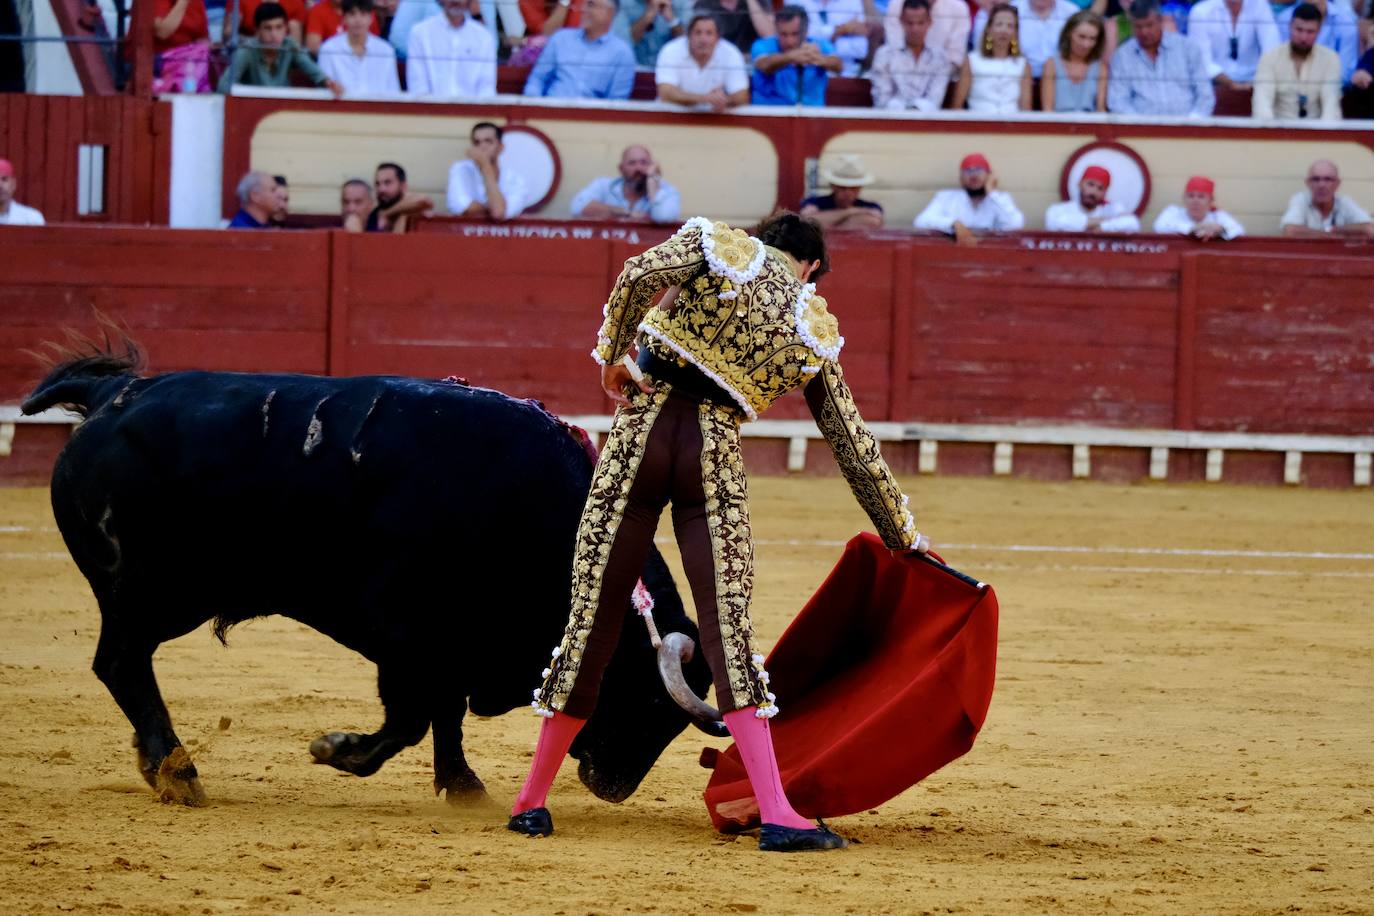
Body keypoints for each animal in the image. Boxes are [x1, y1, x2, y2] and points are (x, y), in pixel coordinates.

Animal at [24, 351, 719, 807]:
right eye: (649, 699)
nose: (614, 786)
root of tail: (115, 393)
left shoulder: (452, 645)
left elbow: (444, 715)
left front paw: (462, 786)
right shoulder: (405, 637)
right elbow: (411, 719)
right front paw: (336, 750)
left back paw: (161, 766)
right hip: (151, 594)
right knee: (122, 664)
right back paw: (178, 772)